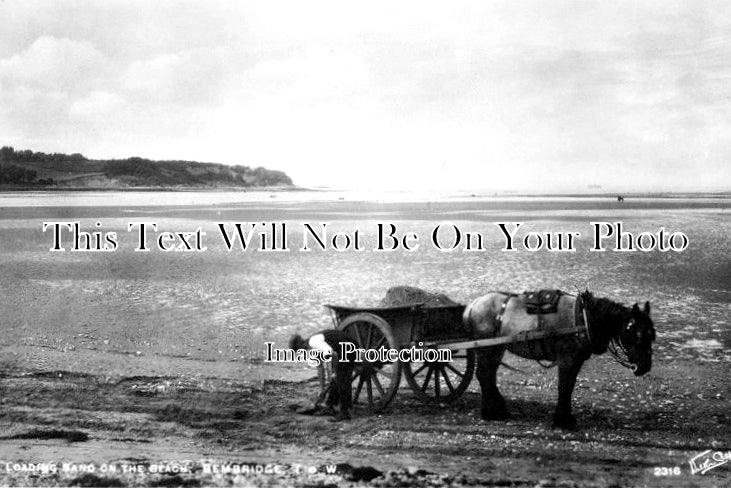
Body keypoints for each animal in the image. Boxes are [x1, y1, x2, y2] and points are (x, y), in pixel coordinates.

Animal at [464, 292, 656, 428]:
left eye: (652, 335)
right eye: (637, 334)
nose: (645, 366)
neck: (583, 318)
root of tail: (474, 304)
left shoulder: (576, 360)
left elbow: (569, 386)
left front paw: (564, 418)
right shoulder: (567, 359)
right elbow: (565, 387)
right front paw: (563, 421)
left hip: (497, 348)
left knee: (489, 376)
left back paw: (498, 410)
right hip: (486, 349)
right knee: (484, 375)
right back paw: (490, 412)